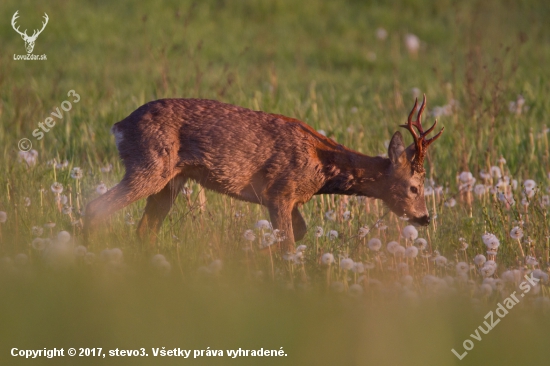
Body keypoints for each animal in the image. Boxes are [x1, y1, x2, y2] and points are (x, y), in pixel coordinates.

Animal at [85, 94, 444, 250]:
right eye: (414, 187)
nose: (425, 218)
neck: (321, 167)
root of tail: (119, 126)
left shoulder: (291, 200)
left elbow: (297, 234)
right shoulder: (279, 192)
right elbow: (288, 244)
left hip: (171, 180)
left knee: (145, 229)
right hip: (149, 165)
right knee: (96, 207)